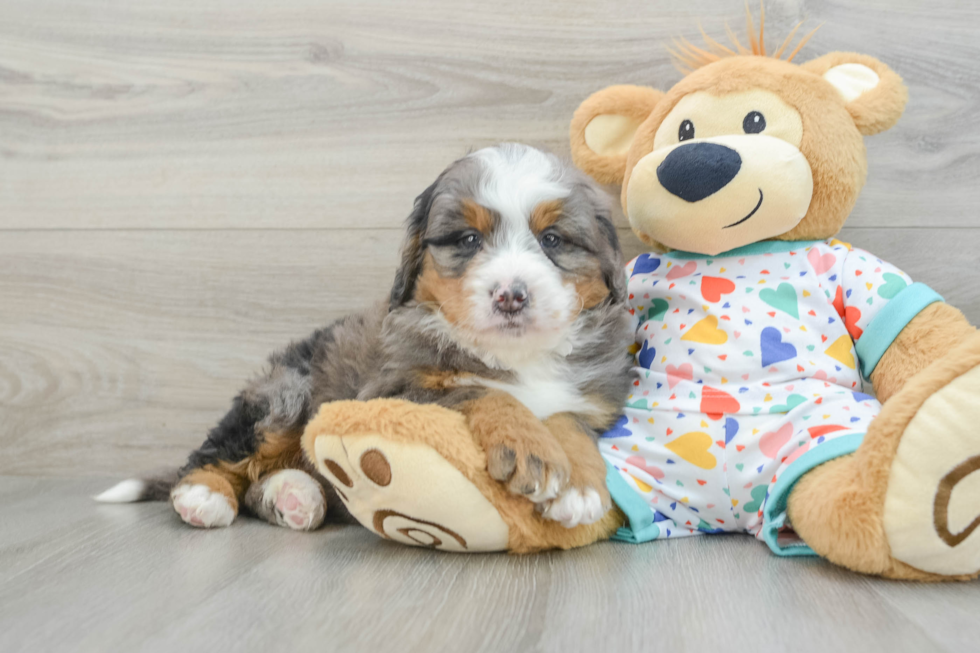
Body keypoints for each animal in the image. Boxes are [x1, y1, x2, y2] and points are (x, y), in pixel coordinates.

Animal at [99, 143, 632, 528]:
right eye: (468, 240)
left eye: (553, 240)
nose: (510, 296)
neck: (517, 356)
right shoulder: (392, 390)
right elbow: (480, 390)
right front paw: (531, 448)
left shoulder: (595, 400)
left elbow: (567, 419)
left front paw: (581, 489)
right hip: (286, 393)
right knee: (218, 453)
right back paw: (203, 495)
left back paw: (294, 496)